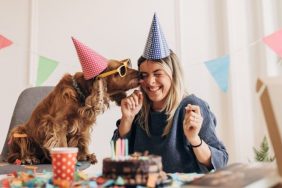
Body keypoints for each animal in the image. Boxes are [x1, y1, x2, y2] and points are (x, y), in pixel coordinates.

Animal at [6, 58, 139, 164]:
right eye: (122, 70)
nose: (141, 73)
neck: (81, 94)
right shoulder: (57, 123)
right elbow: (62, 142)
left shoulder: (83, 124)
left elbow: (82, 140)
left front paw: (85, 155)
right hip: (17, 131)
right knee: (14, 156)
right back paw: (28, 158)